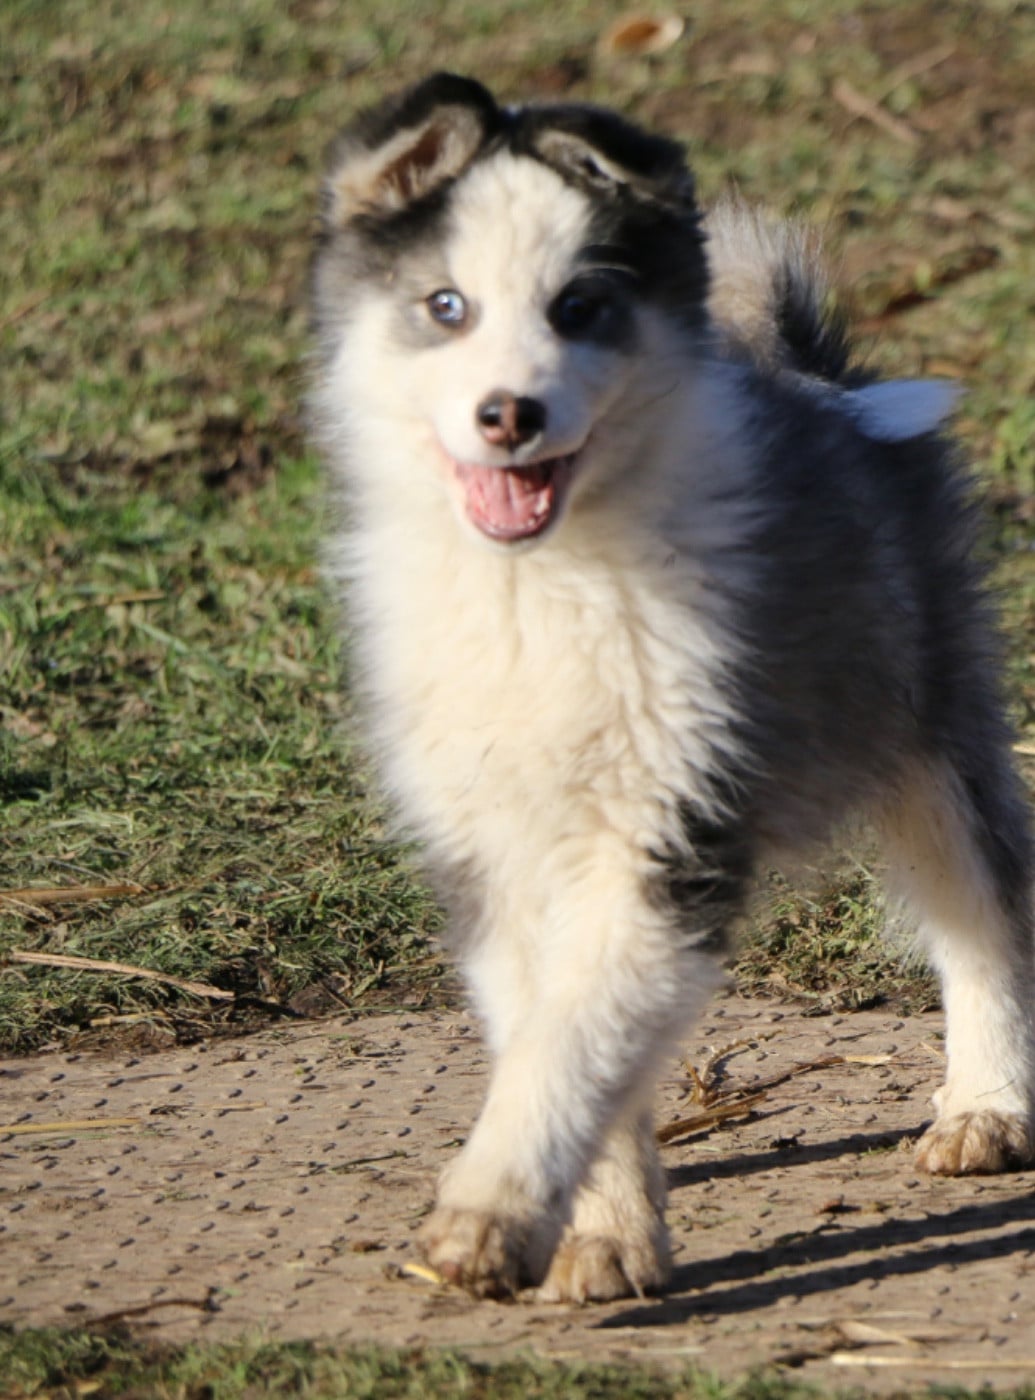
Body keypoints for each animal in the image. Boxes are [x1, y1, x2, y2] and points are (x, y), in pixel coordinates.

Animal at [310, 73, 1035, 1302]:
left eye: (578, 309)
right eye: (444, 305)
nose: (509, 415)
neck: (541, 585)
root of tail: (813, 376)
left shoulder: (672, 826)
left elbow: (574, 1038)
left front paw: (495, 1216)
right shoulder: (495, 845)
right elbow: (558, 1031)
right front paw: (601, 1230)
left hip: (926, 716)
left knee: (981, 908)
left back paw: (988, 1106)